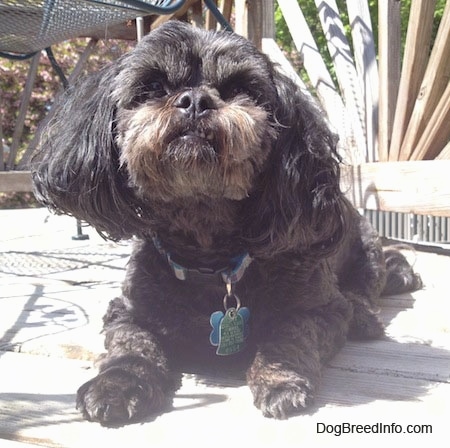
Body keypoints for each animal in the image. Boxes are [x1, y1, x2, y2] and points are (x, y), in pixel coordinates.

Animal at [31, 21, 422, 426]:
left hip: (363, 244)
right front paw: (117, 382)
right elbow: (132, 343)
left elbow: (290, 333)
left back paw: (368, 308)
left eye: (242, 89)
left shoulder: (321, 310)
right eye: (152, 86)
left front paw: (280, 377)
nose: (195, 100)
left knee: (368, 282)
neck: (209, 257)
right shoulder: (126, 309)